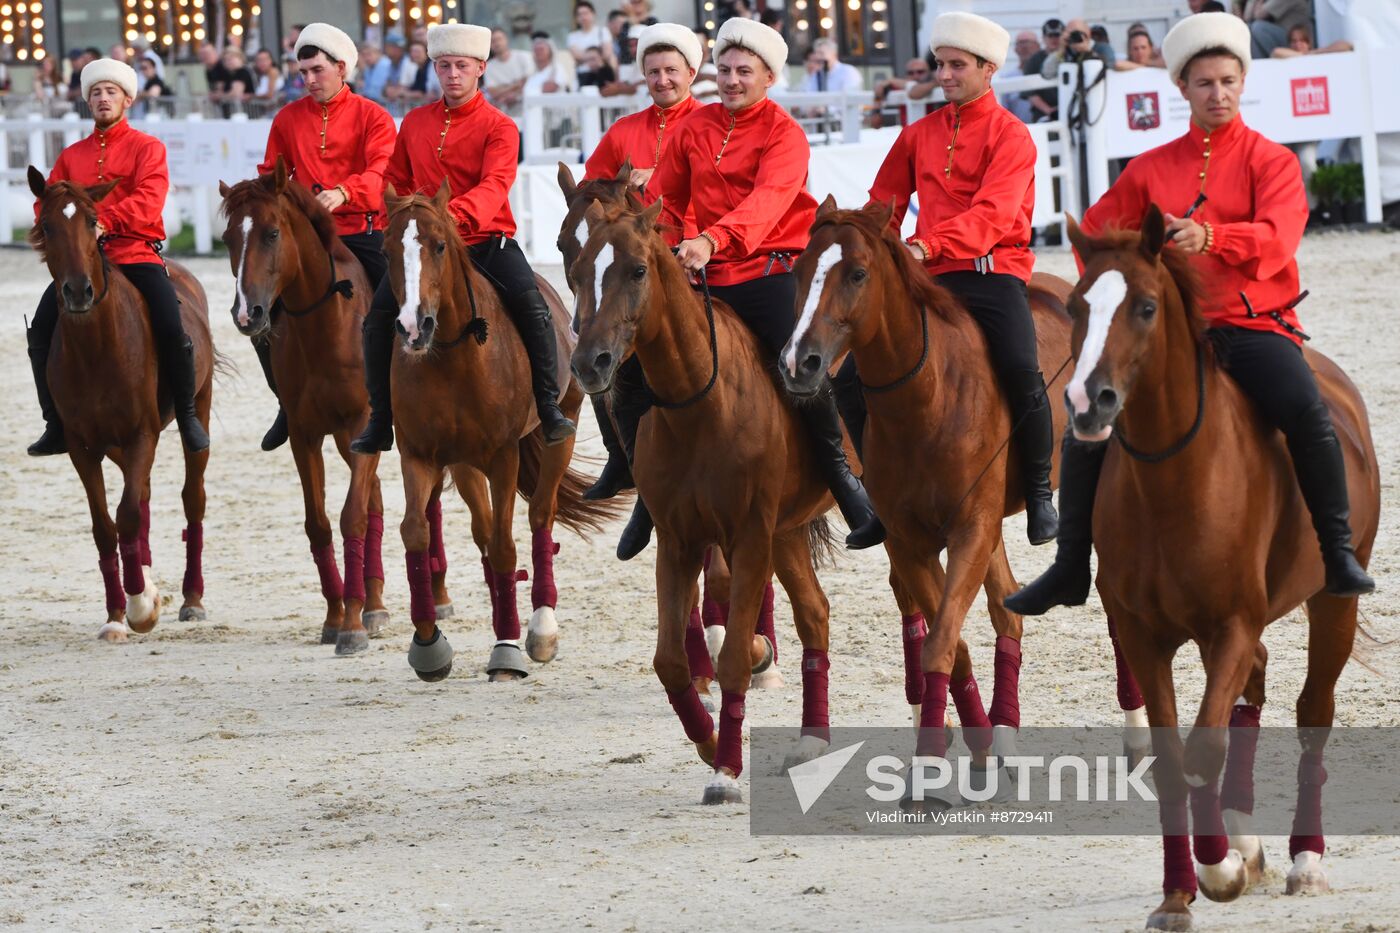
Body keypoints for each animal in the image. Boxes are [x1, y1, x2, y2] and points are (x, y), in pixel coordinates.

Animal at [28, 163, 212, 636]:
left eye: (93, 221)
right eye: (46, 225)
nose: (78, 291)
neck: (95, 346)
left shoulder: (141, 435)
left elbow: (127, 514)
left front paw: (140, 605)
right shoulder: (82, 447)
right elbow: (104, 526)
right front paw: (116, 612)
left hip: (195, 411)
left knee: (191, 498)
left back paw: (190, 597)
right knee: (141, 495)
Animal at [218, 159, 394, 652]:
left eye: (272, 233)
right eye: (228, 239)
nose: (248, 314)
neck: (327, 325)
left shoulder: (362, 424)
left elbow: (351, 517)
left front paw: (351, 627)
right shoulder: (305, 434)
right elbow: (318, 523)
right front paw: (336, 616)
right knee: (376, 500)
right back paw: (373, 602)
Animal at [383, 182, 624, 680]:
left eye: (440, 245)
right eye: (385, 251)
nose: (414, 328)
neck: (451, 356)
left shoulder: (503, 457)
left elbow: (505, 546)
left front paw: (508, 647)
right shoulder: (419, 455)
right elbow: (415, 530)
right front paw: (428, 644)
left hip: (561, 433)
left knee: (538, 519)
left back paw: (541, 628)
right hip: (464, 464)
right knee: (482, 532)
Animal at [784, 200, 1086, 778]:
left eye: (857, 274)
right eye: (799, 271)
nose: (798, 363)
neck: (930, 398)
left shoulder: (970, 530)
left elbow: (943, 637)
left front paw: (931, 762)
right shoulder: (912, 543)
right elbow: (950, 640)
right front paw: (974, 740)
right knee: (1007, 613)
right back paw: (1002, 731)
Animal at [1058, 207, 1377, 924]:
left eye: (1146, 307)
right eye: (1075, 306)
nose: (1087, 403)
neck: (1175, 477)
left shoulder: (1230, 623)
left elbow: (1205, 748)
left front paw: (1220, 868)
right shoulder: (1145, 635)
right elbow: (1174, 758)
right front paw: (1181, 891)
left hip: (1333, 604)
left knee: (1312, 711)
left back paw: (1303, 858)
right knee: (1252, 686)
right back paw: (1245, 836)